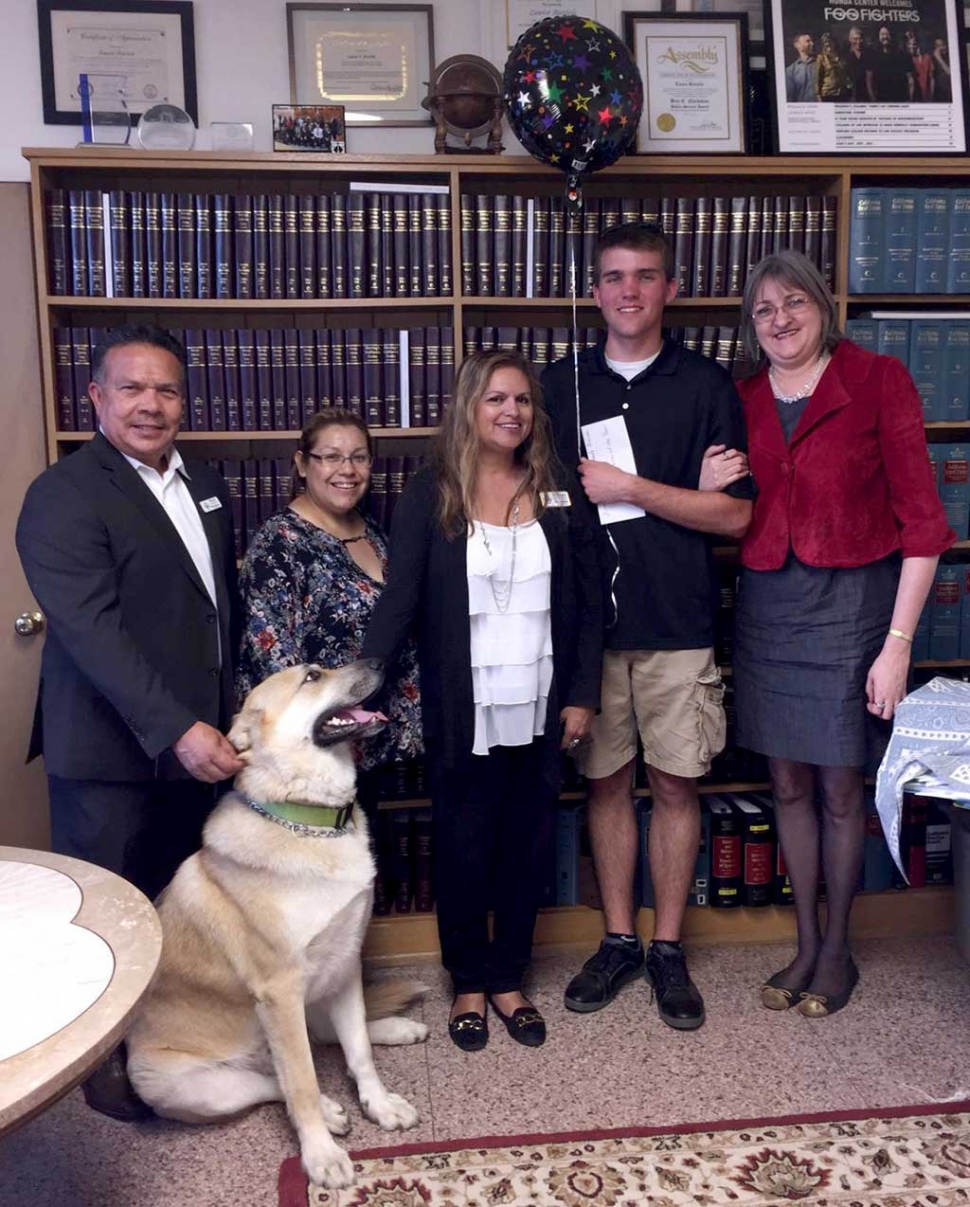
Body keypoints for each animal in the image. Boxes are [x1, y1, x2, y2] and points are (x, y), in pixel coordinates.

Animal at [127, 666, 427, 1192]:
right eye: (312, 675)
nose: (376, 662)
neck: (312, 822)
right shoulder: (280, 991)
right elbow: (302, 1083)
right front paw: (320, 1154)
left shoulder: (345, 963)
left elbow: (359, 1051)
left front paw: (379, 1104)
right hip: (200, 1087)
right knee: (276, 1082)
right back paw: (328, 1111)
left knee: (327, 1038)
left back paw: (394, 1028)